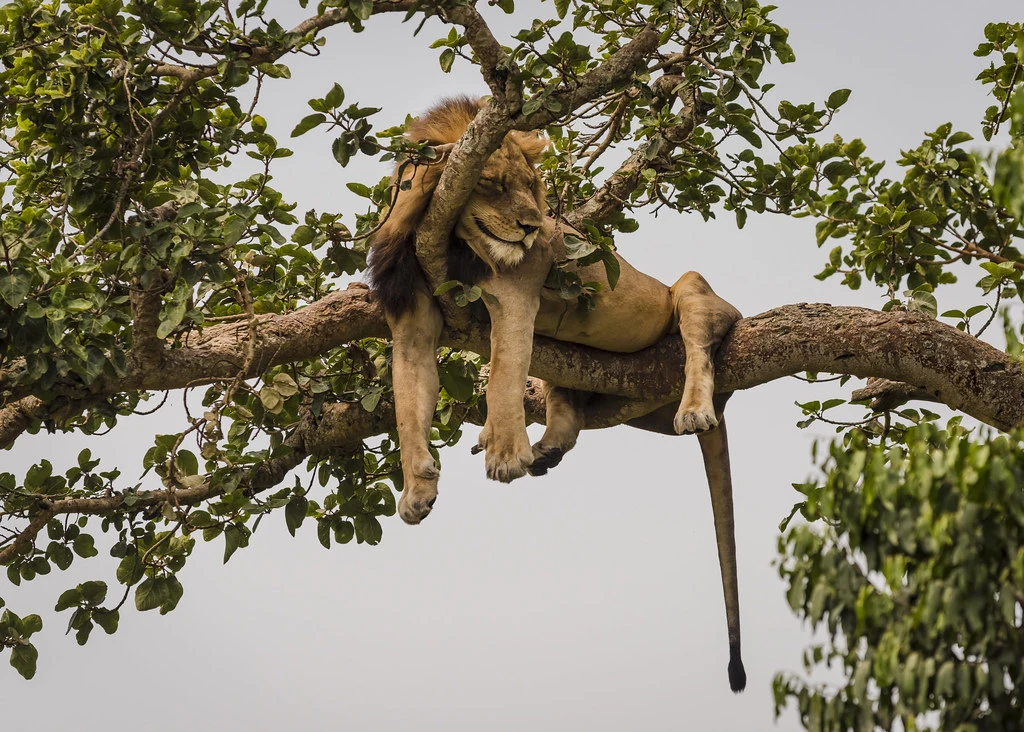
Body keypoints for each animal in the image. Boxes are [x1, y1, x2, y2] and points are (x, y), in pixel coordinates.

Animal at [366, 97, 746, 692]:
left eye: (530, 187)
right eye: (492, 183)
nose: (530, 228)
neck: (448, 242)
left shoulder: (515, 292)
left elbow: (503, 373)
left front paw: (505, 455)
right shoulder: (412, 321)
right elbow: (409, 406)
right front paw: (418, 488)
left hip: (690, 289)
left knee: (699, 344)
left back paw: (693, 411)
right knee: (568, 415)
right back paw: (544, 449)